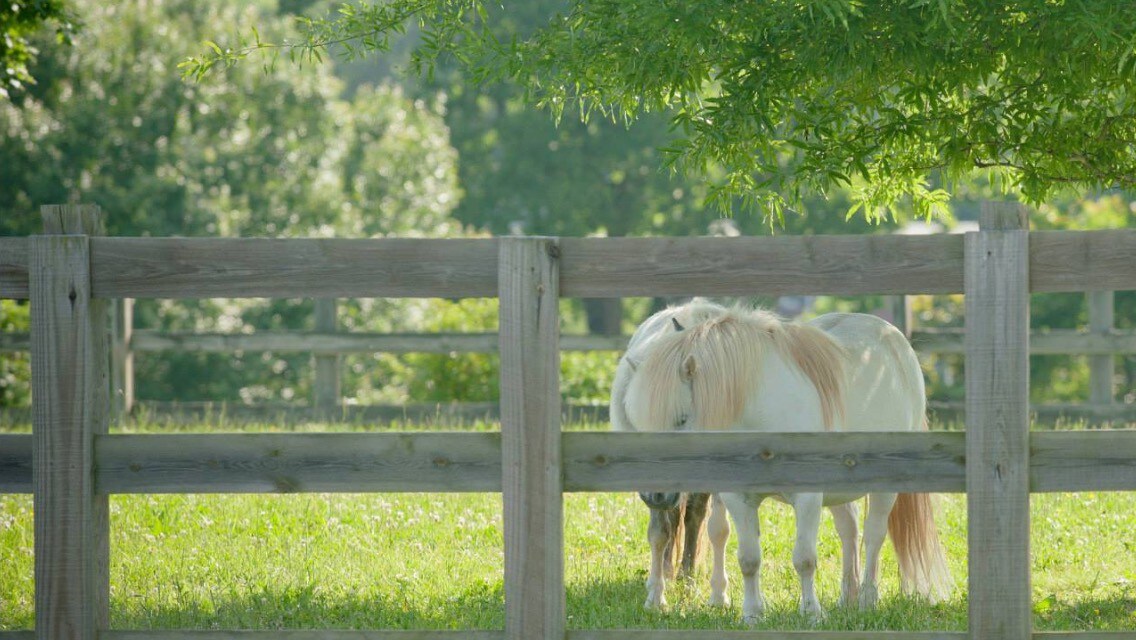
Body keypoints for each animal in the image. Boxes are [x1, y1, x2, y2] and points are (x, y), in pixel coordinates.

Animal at [613, 302, 949, 622]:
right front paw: (751, 614)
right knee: (849, 530)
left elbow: (805, 558)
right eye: (637, 423)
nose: (655, 496)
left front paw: (811, 613)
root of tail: (895, 340)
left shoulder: (808, 497)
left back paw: (867, 600)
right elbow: (748, 559)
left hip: (884, 486)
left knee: (874, 536)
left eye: (681, 419)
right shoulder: (739, 498)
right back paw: (847, 599)